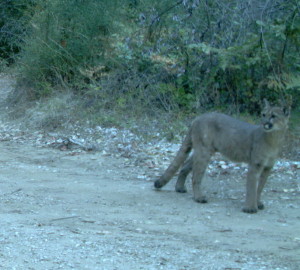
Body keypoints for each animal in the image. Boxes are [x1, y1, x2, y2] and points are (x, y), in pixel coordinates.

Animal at [155, 99, 290, 213]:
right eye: (263, 114)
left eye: (273, 116)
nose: (264, 123)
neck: (274, 139)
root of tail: (198, 118)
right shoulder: (255, 165)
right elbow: (252, 187)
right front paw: (250, 208)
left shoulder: (267, 167)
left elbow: (260, 187)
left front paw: (258, 203)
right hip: (204, 151)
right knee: (196, 175)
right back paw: (199, 197)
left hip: (205, 149)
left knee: (186, 164)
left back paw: (180, 188)